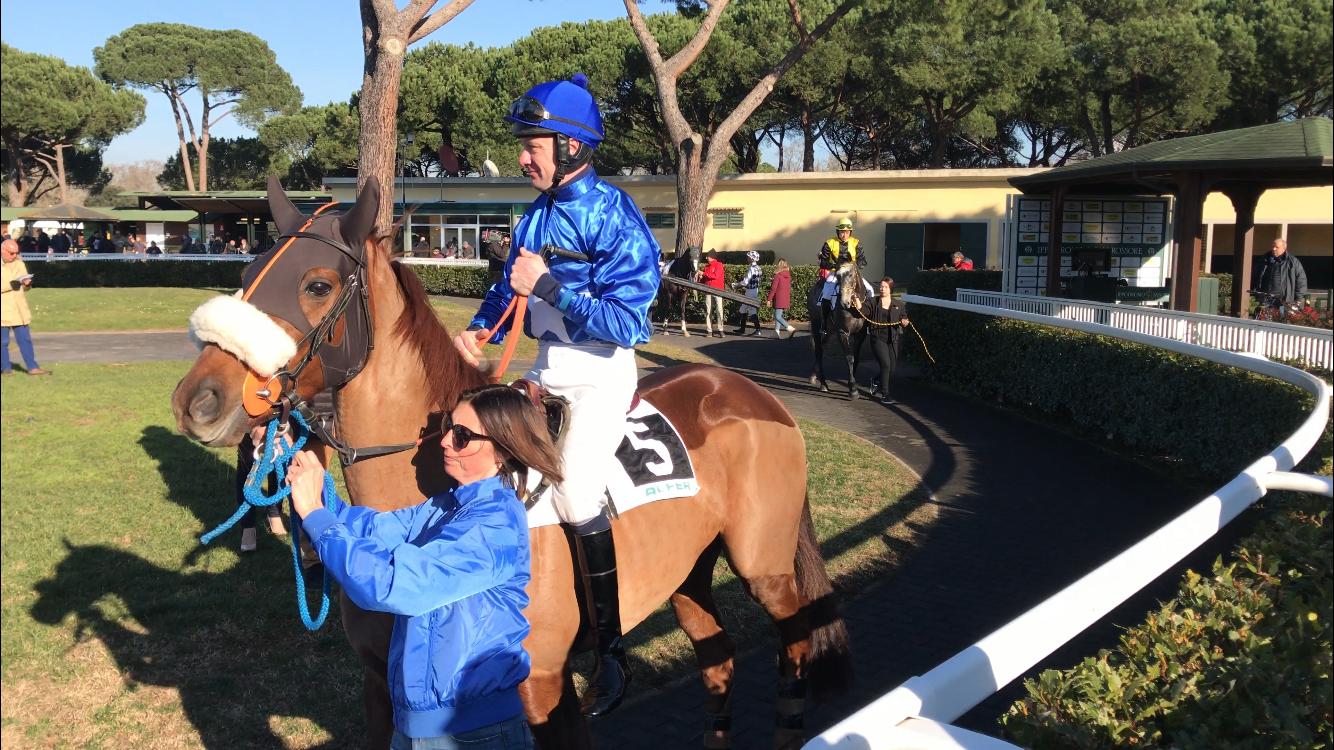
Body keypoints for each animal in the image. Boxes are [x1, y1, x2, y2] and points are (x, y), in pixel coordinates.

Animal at [172, 177, 848, 741]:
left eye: (317, 285)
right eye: (249, 268)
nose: (197, 401)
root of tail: (750, 393)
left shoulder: (542, 687)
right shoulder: (381, 690)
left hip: (764, 567)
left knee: (794, 645)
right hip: (688, 575)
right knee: (719, 660)